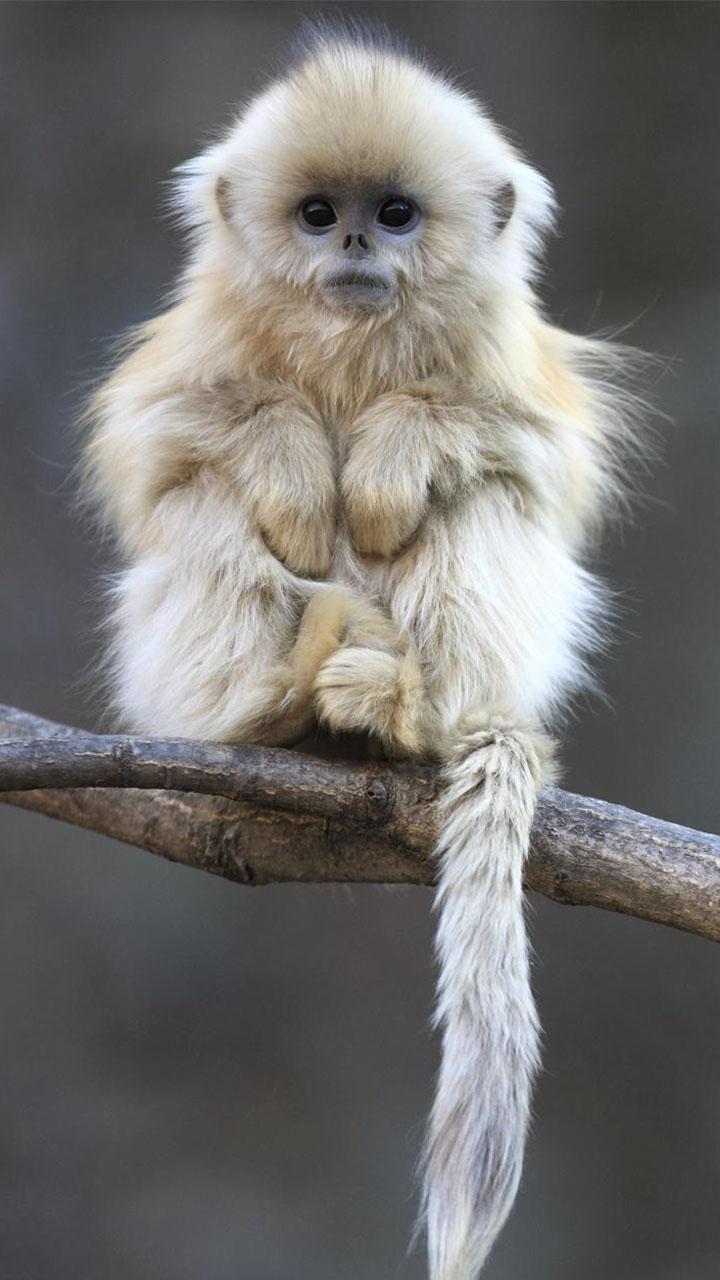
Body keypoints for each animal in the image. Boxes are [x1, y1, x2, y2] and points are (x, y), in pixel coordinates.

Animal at [83, 24, 640, 1280]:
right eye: (314, 213)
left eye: (394, 212)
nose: (349, 244)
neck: (349, 339)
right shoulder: (194, 347)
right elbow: (165, 446)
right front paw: (296, 468)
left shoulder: (510, 364)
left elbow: (530, 454)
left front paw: (387, 462)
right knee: (205, 507)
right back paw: (278, 704)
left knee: (484, 500)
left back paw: (402, 709)